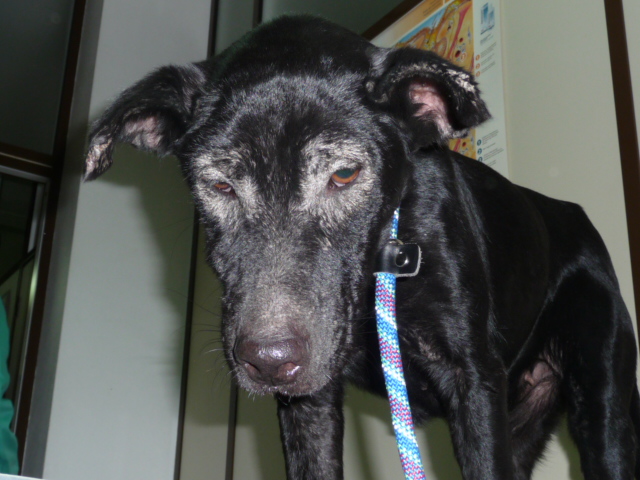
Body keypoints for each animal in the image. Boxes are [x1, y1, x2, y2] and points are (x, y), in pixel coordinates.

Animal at [85, 16, 640, 480]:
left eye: (345, 174)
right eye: (219, 184)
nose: (268, 362)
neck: (381, 263)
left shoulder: (474, 382)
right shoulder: (307, 405)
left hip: (603, 406)